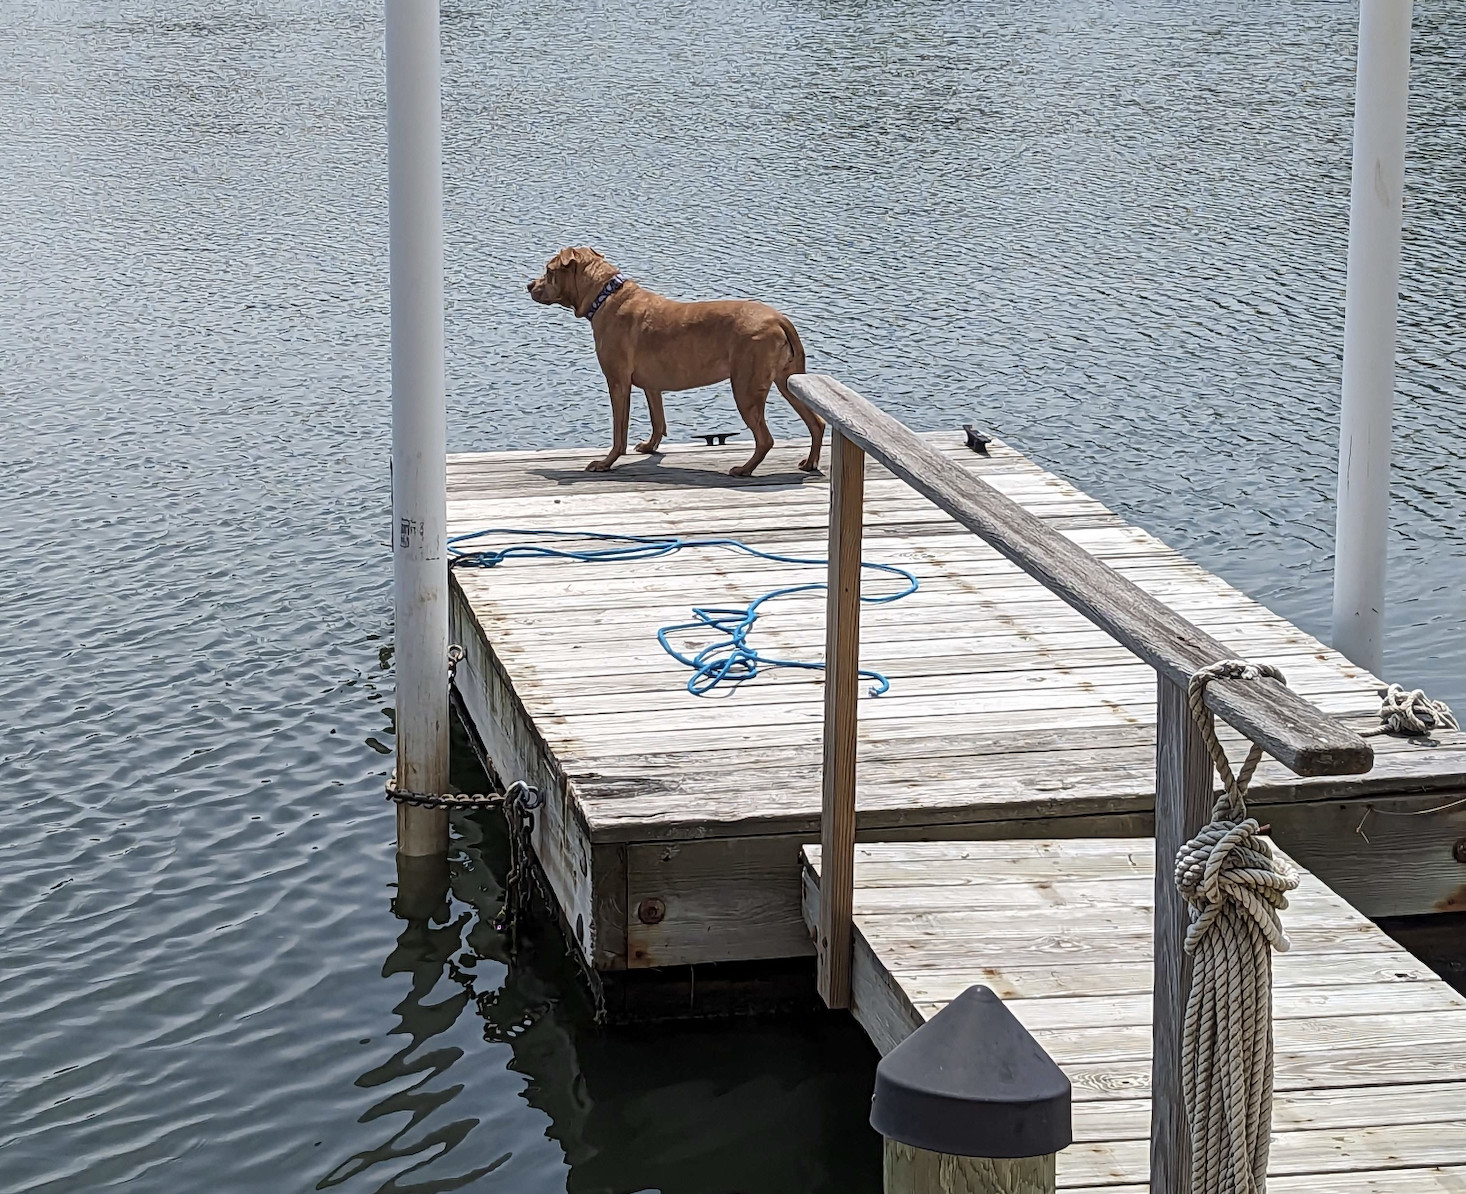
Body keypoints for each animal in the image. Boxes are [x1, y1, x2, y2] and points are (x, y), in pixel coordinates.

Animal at [527, 247, 826, 478]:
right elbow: (658, 420)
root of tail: (779, 318)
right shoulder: (652, 386)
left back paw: (744, 469)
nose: (529, 285)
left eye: (549, 269)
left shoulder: (618, 383)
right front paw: (650, 447)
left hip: (746, 389)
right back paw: (809, 463)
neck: (605, 298)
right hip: (788, 382)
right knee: (817, 423)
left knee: (765, 439)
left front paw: (605, 462)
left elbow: (619, 433)